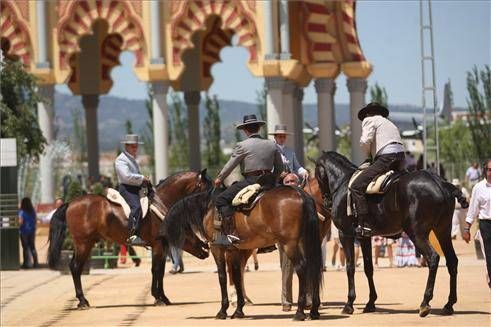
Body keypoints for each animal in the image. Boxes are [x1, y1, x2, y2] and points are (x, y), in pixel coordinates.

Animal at [46, 172, 213, 310]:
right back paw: (82, 301)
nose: (206, 249)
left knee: (74, 267)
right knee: (75, 268)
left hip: (84, 244)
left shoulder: (162, 246)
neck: (162, 203)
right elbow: (156, 270)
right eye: (207, 188)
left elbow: (160, 271)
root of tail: (71, 203)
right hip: (83, 244)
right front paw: (158, 298)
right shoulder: (158, 245)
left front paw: (163, 297)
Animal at [160, 186, 324, 322]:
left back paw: (300, 312)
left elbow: (222, 277)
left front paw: (223, 311)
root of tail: (300, 194)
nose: (203, 252)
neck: (209, 209)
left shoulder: (217, 249)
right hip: (304, 242)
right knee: (313, 268)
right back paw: (314, 311)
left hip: (289, 244)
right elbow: (237, 277)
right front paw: (238, 310)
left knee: (302, 269)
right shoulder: (234, 251)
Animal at [316, 152, 468, 320]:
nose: (327, 201)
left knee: (433, 258)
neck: (343, 184)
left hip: (417, 233)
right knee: (452, 261)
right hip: (443, 231)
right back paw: (449, 304)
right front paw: (370, 303)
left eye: (316, 174)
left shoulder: (345, 234)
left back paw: (425, 303)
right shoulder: (364, 237)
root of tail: (440, 183)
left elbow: (350, 267)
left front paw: (349, 304)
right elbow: (368, 268)